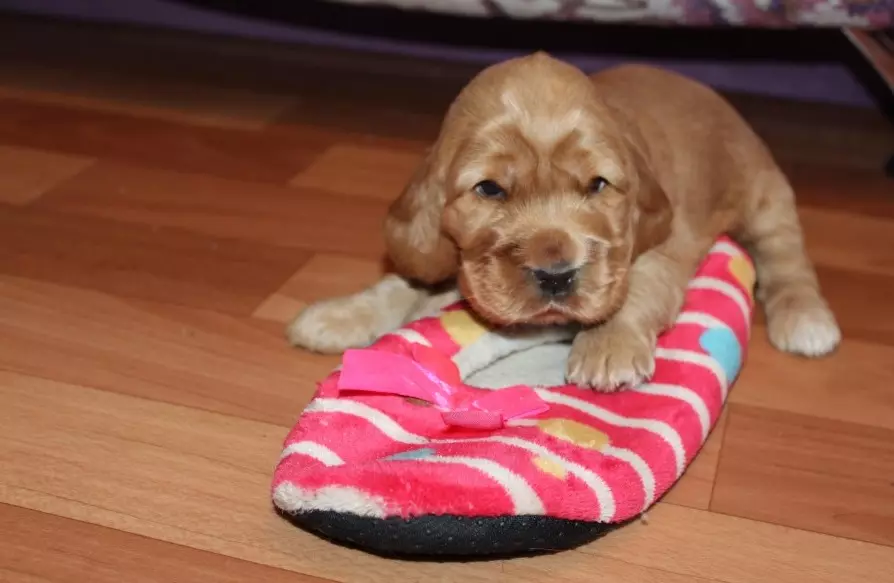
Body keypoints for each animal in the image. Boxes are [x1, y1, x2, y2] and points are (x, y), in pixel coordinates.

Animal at [290, 53, 844, 392]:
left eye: (597, 184)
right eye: (490, 189)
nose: (556, 277)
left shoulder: (661, 242)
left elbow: (637, 288)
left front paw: (607, 346)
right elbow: (399, 285)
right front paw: (337, 316)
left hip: (765, 192)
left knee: (787, 257)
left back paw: (806, 321)